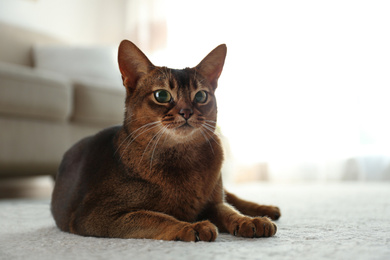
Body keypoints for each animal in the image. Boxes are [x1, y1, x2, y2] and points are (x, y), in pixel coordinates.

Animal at [51, 40, 280, 242]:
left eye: (201, 96)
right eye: (162, 95)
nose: (186, 112)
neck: (185, 157)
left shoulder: (212, 204)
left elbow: (229, 210)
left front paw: (249, 221)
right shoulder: (96, 215)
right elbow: (156, 217)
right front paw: (191, 227)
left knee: (231, 197)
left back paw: (266, 210)